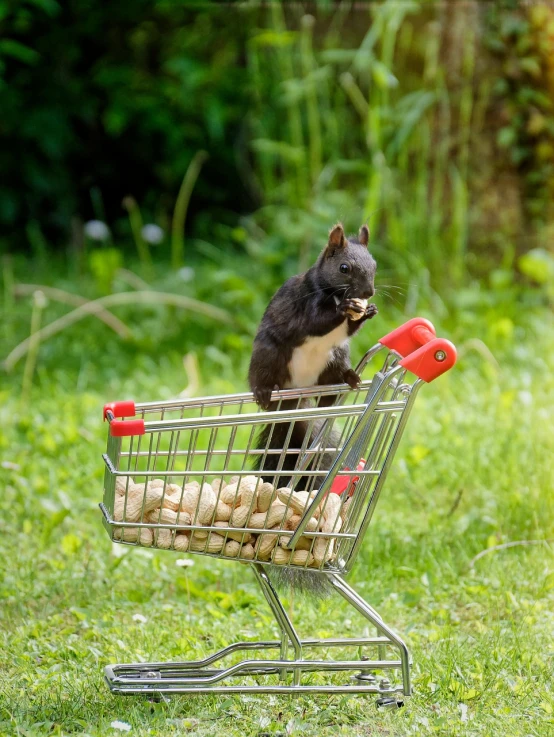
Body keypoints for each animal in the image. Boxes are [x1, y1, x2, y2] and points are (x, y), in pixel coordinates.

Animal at [248, 221, 378, 596]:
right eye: (344, 268)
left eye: (375, 265)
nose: (369, 292)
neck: (333, 291)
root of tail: (294, 399)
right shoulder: (304, 307)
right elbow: (317, 321)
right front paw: (345, 309)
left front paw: (367, 312)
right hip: (269, 354)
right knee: (263, 378)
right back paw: (264, 393)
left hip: (335, 359)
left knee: (330, 392)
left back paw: (349, 381)